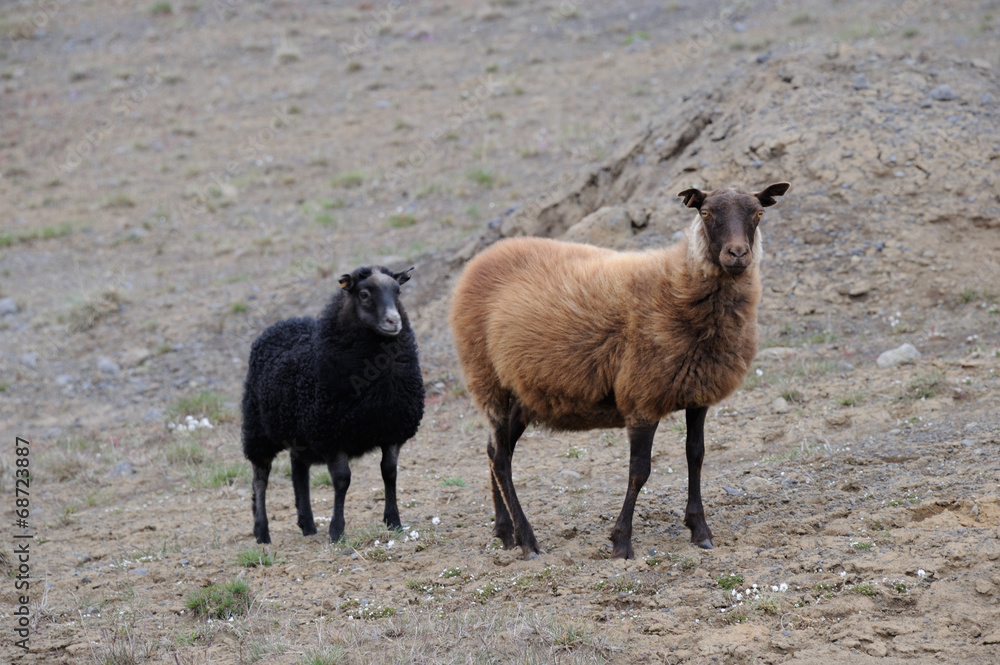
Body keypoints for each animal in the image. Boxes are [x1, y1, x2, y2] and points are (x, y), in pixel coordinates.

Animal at [241, 265, 425, 545]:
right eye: (364, 294)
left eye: (398, 291)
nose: (394, 321)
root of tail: (284, 322)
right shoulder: (331, 435)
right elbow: (341, 480)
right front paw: (337, 531)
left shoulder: (392, 430)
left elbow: (389, 472)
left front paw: (394, 521)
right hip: (258, 428)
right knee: (260, 477)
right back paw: (262, 532)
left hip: (301, 432)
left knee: (298, 467)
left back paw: (307, 524)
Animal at [449, 182, 790, 559]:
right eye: (705, 213)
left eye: (758, 213)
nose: (738, 254)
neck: (678, 285)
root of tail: (480, 259)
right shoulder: (642, 397)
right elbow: (640, 471)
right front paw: (622, 542)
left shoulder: (697, 393)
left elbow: (696, 456)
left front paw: (700, 529)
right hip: (488, 381)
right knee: (501, 460)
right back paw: (527, 540)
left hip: (521, 394)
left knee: (494, 451)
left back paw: (505, 531)